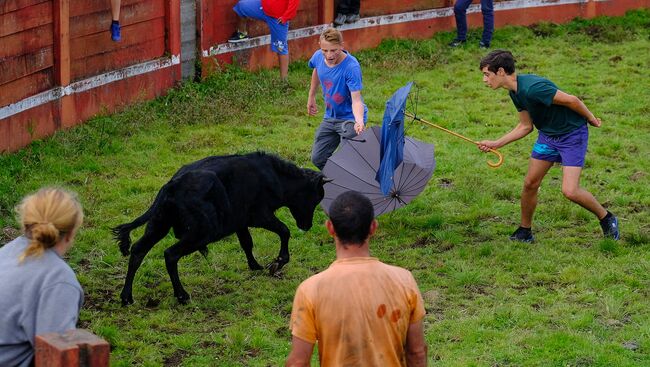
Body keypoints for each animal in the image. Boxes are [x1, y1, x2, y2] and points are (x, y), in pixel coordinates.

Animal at [112, 152, 326, 304]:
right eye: (316, 197)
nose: (307, 225)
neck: (274, 175)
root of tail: (171, 186)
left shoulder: (240, 222)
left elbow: (247, 243)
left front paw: (255, 265)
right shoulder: (261, 216)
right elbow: (284, 231)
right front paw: (278, 262)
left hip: (159, 225)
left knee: (138, 250)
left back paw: (127, 297)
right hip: (202, 233)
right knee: (170, 254)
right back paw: (182, 295)